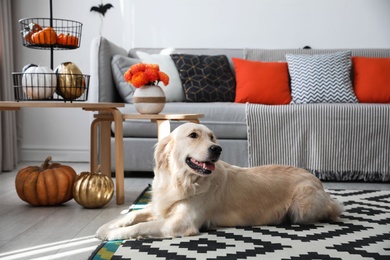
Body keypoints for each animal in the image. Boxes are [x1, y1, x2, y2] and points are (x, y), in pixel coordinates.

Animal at [96, 123, 342, 241]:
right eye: (193, 135)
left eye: (212, 137)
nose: (217, 149)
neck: (182, 180)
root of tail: (317, 180)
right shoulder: (159, 205)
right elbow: (131, 214)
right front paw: (106, 227)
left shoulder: (180, 223)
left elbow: (141, 225)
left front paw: (113, 234)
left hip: (302, 207)